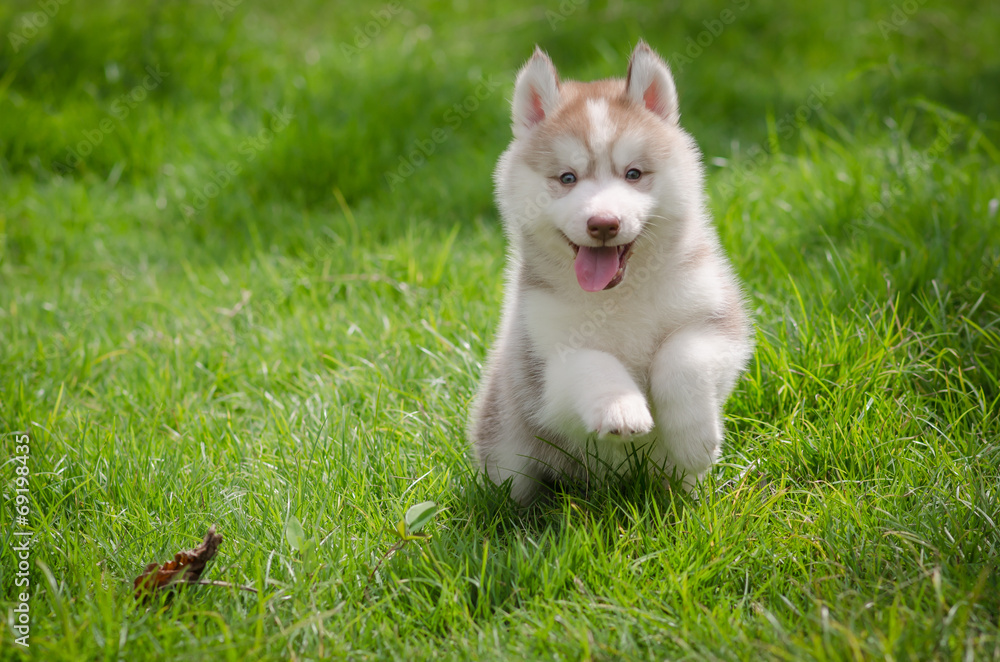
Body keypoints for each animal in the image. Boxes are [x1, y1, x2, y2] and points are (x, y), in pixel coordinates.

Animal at [468, 41, 752, 506]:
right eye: (567, 177)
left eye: (633, 174)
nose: (603, 223)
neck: (620, 295)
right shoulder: (544, 368)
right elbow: (592, 362)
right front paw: (622, 407)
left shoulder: (719, 324)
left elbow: (681, 357)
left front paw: (694, 440)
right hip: (506, 442)